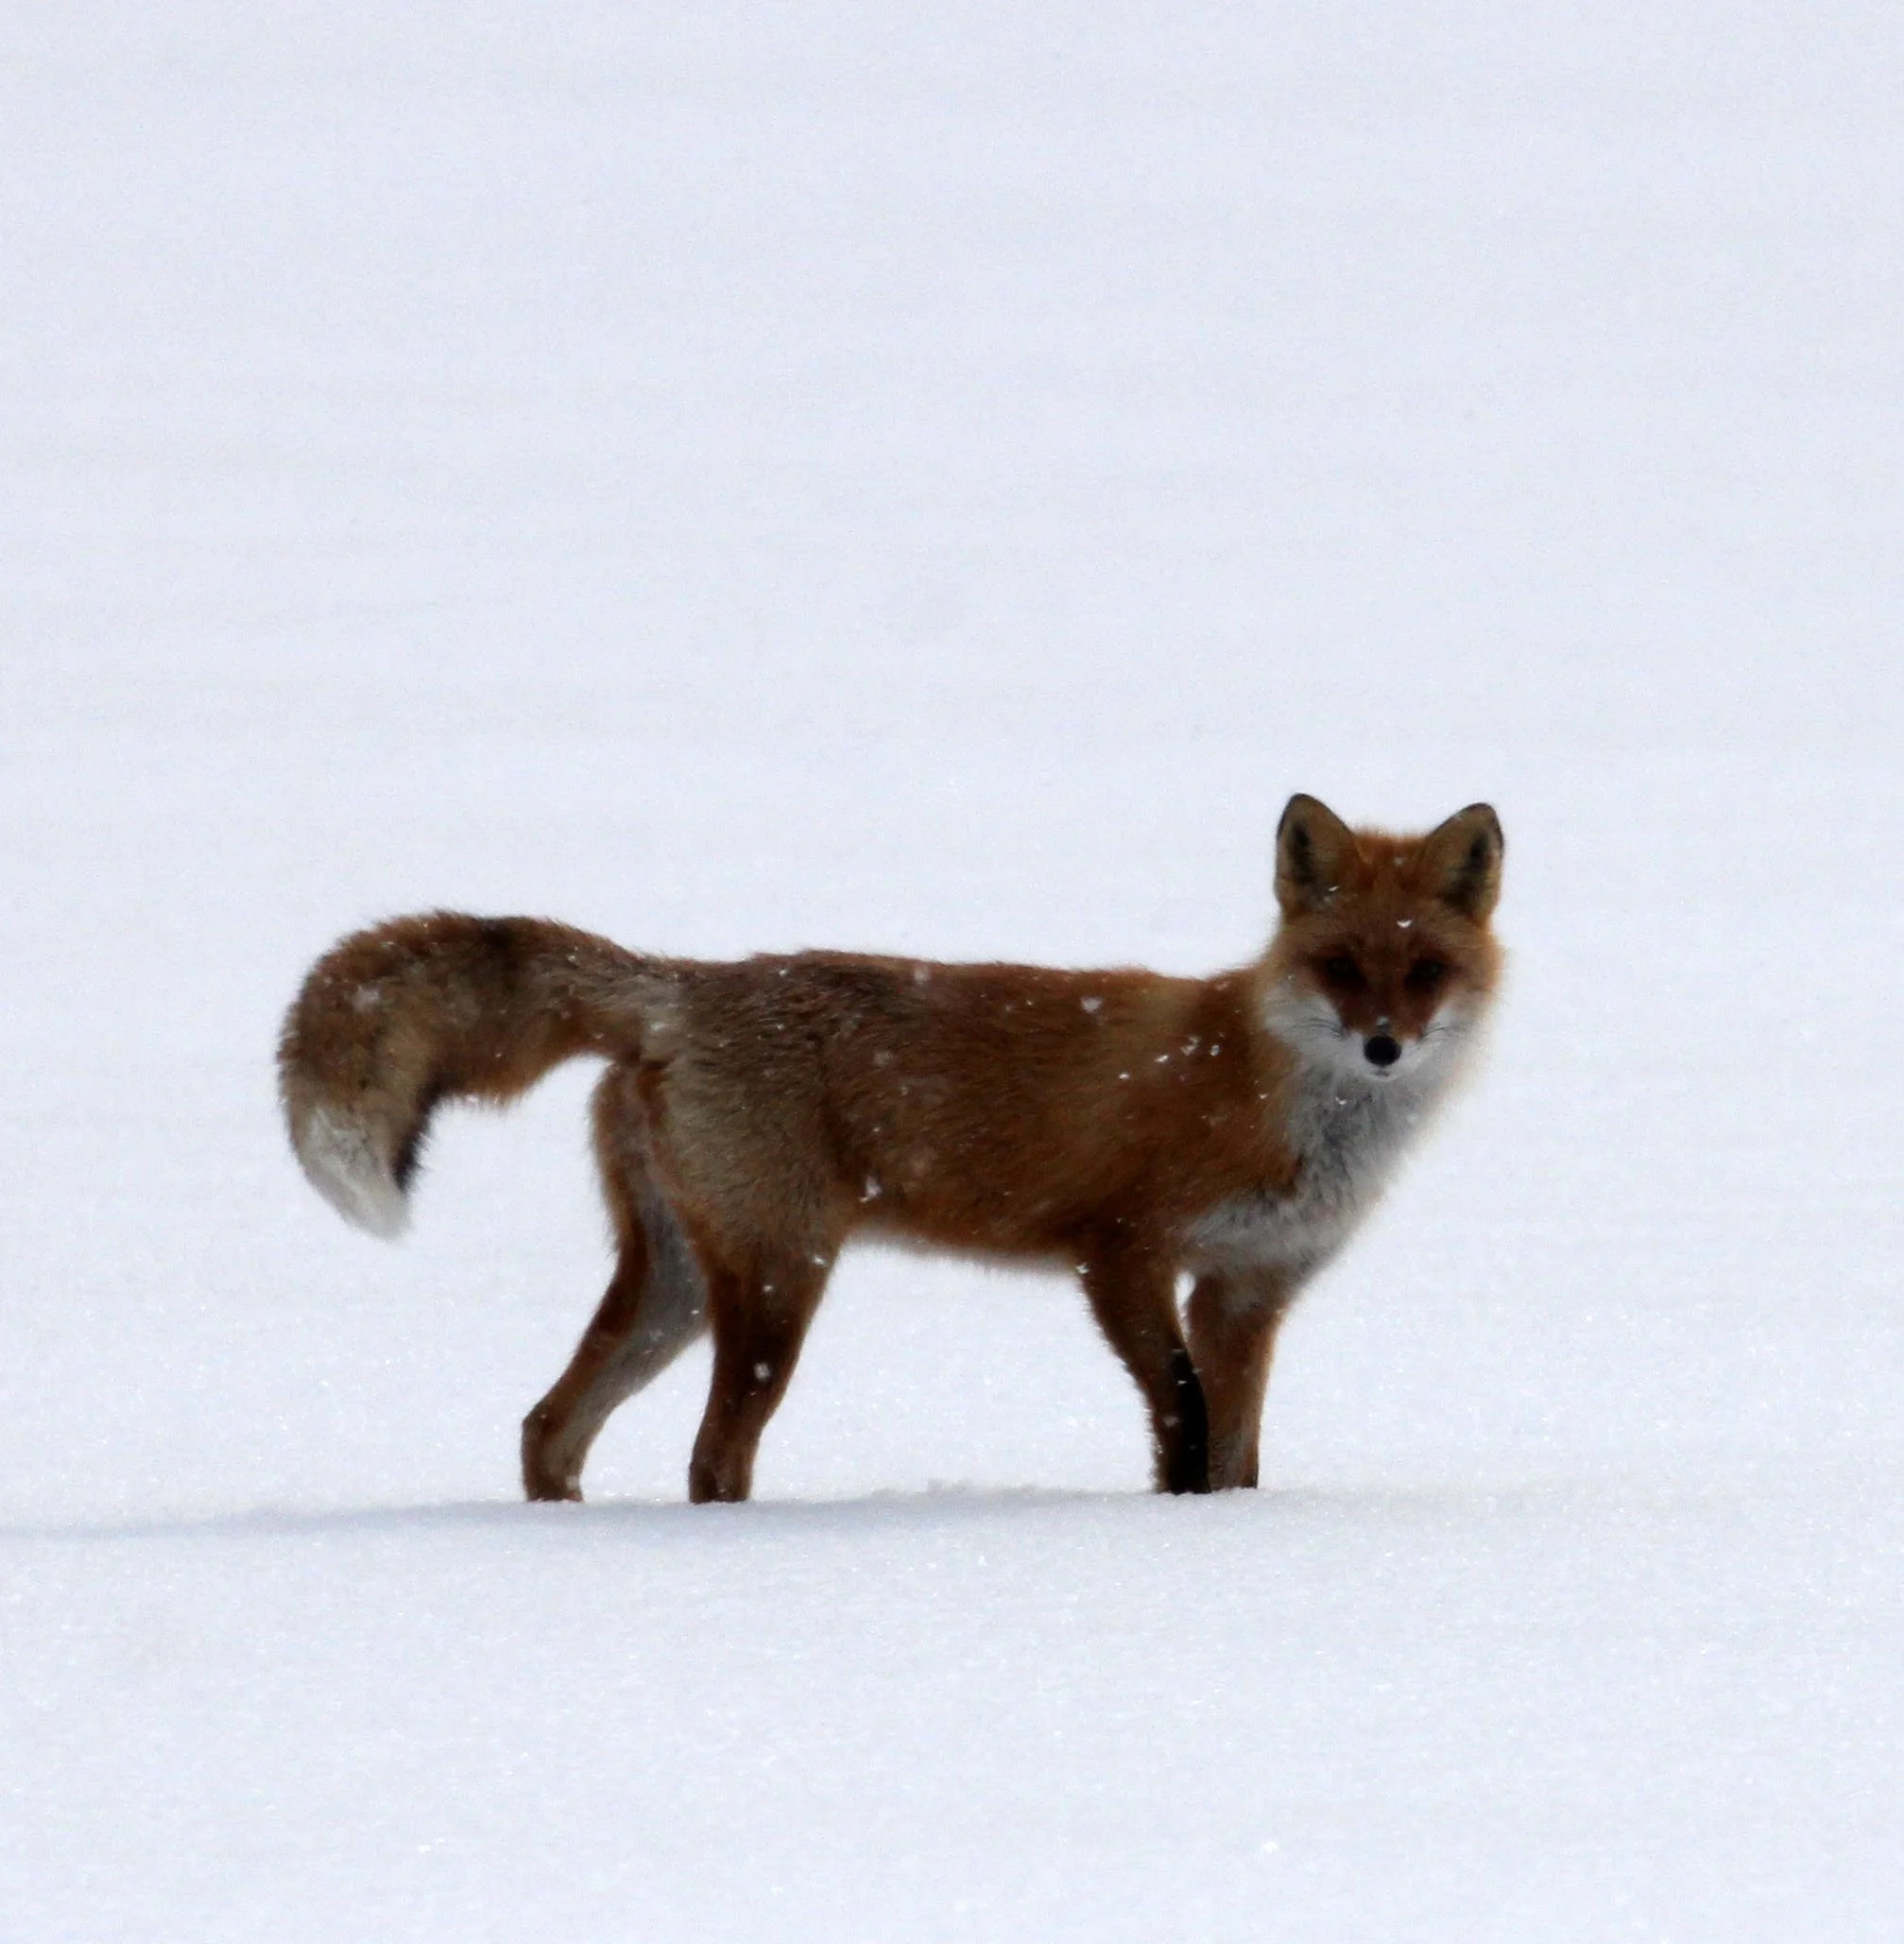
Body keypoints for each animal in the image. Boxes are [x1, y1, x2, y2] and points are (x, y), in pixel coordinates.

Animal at [278, 794, 1503, 1503]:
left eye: (1422, 971)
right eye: (1338, 966)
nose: (1383, 1046)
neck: (1262, 1090)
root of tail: (684, 988)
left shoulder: (1246, 1291)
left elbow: (1236, 1454)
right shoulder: (1121, 1254)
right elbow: (1184, 1421)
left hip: (678, 1283)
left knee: (547, 1425)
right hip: (778, 1280)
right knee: (709, 1458)